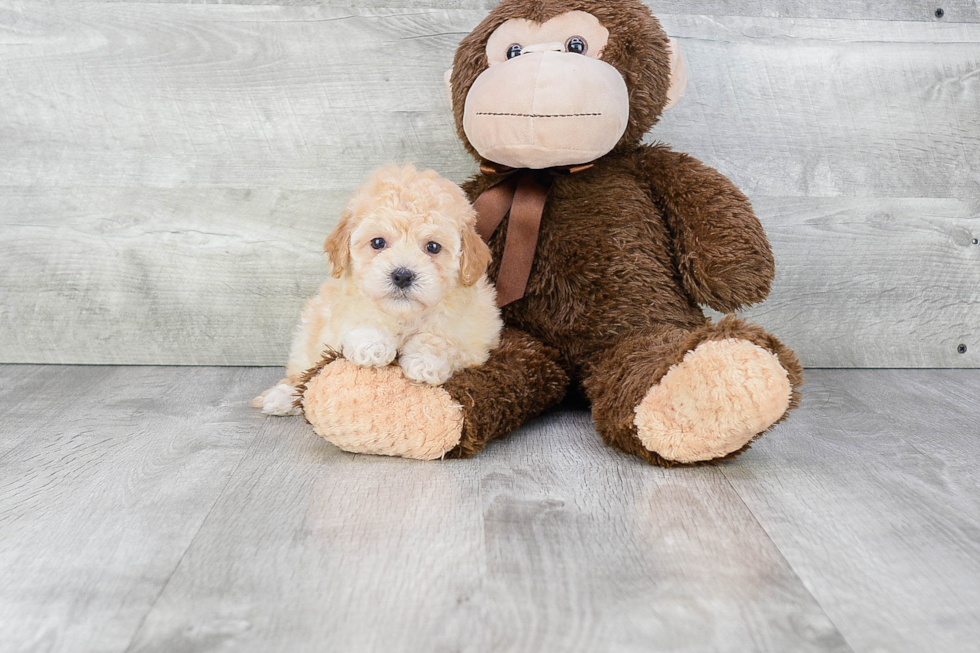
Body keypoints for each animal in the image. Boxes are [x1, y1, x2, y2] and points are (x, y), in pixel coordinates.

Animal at [253, 164, 502, 418]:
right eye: (378, 242)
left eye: (433, 247)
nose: (402, 275)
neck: (404, 315)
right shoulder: (337, 315)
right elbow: (363, 322)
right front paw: (372, 347)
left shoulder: (475, 340)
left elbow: (439, 339)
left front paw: (425, 362)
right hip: (306, 338)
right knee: (301, 373)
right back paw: (282, 397)